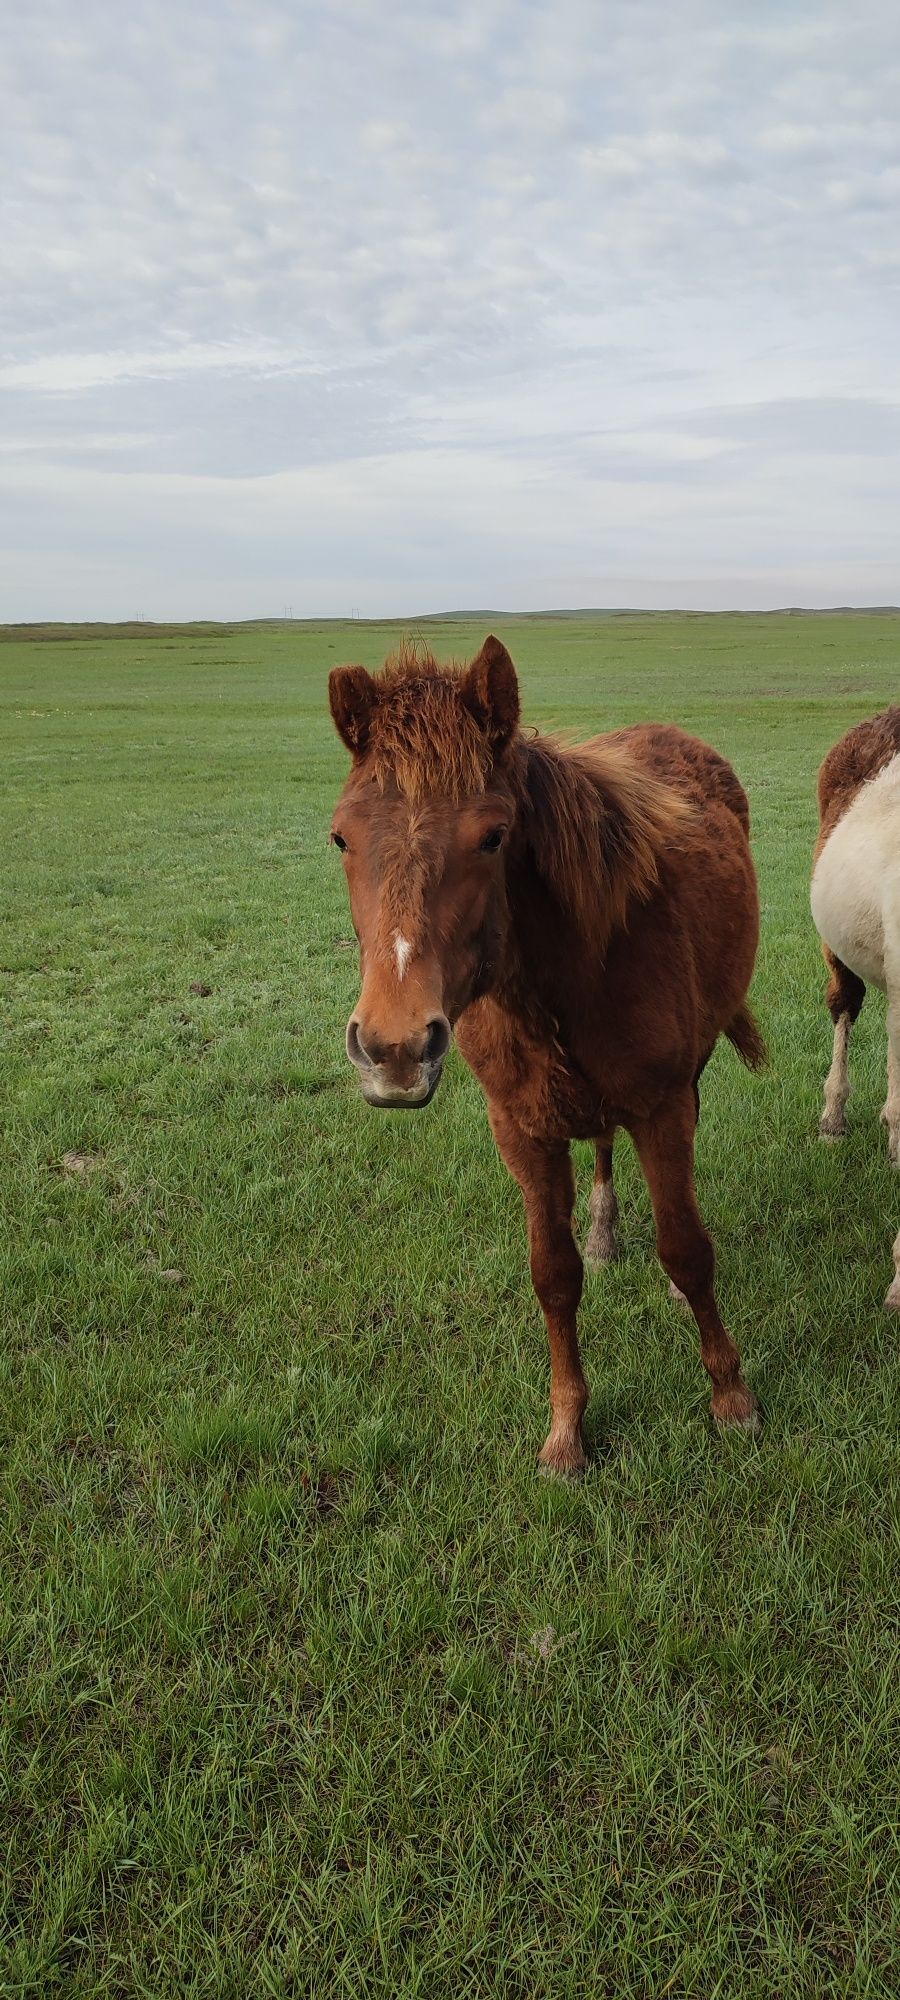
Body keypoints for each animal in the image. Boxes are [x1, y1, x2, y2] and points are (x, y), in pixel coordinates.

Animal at [326, 632, 764, 1480]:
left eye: (493, 836)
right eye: (341, 837)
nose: (395, 1047)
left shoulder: (661, 1109)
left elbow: (688, 1249)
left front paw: (731, 1395)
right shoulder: (521, 1130)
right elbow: (553, 1277)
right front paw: (567, 1431)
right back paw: (603, 1231)